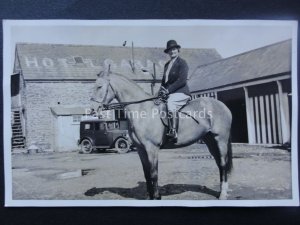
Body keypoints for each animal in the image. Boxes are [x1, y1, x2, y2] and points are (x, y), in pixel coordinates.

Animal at [90, 71, 233, 200]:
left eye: (99, 87)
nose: (92, 109)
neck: (142, 110)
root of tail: (223, 105)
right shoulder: (141, 149)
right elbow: (146, 173)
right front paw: (150, 197)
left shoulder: (152, 148)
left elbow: (154, 174)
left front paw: (157, 197)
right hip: (210, 140)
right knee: (219, 164)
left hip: (220, 139)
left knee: (223, 164)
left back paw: (223, 194)